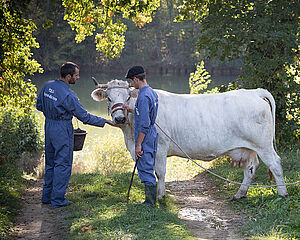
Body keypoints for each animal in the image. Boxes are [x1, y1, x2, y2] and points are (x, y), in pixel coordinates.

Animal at [90, 79, 288, 200]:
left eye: (127, 97)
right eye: (109, 98)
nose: (119, 119)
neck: (131, 134)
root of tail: (254, 92)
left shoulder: (160, 147)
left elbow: (160, 172)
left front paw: (161, 196)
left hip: (263, 145)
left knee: (276, 164)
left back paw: (283, 193)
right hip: (249, 148)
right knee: (251, 168)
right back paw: (240, 194)